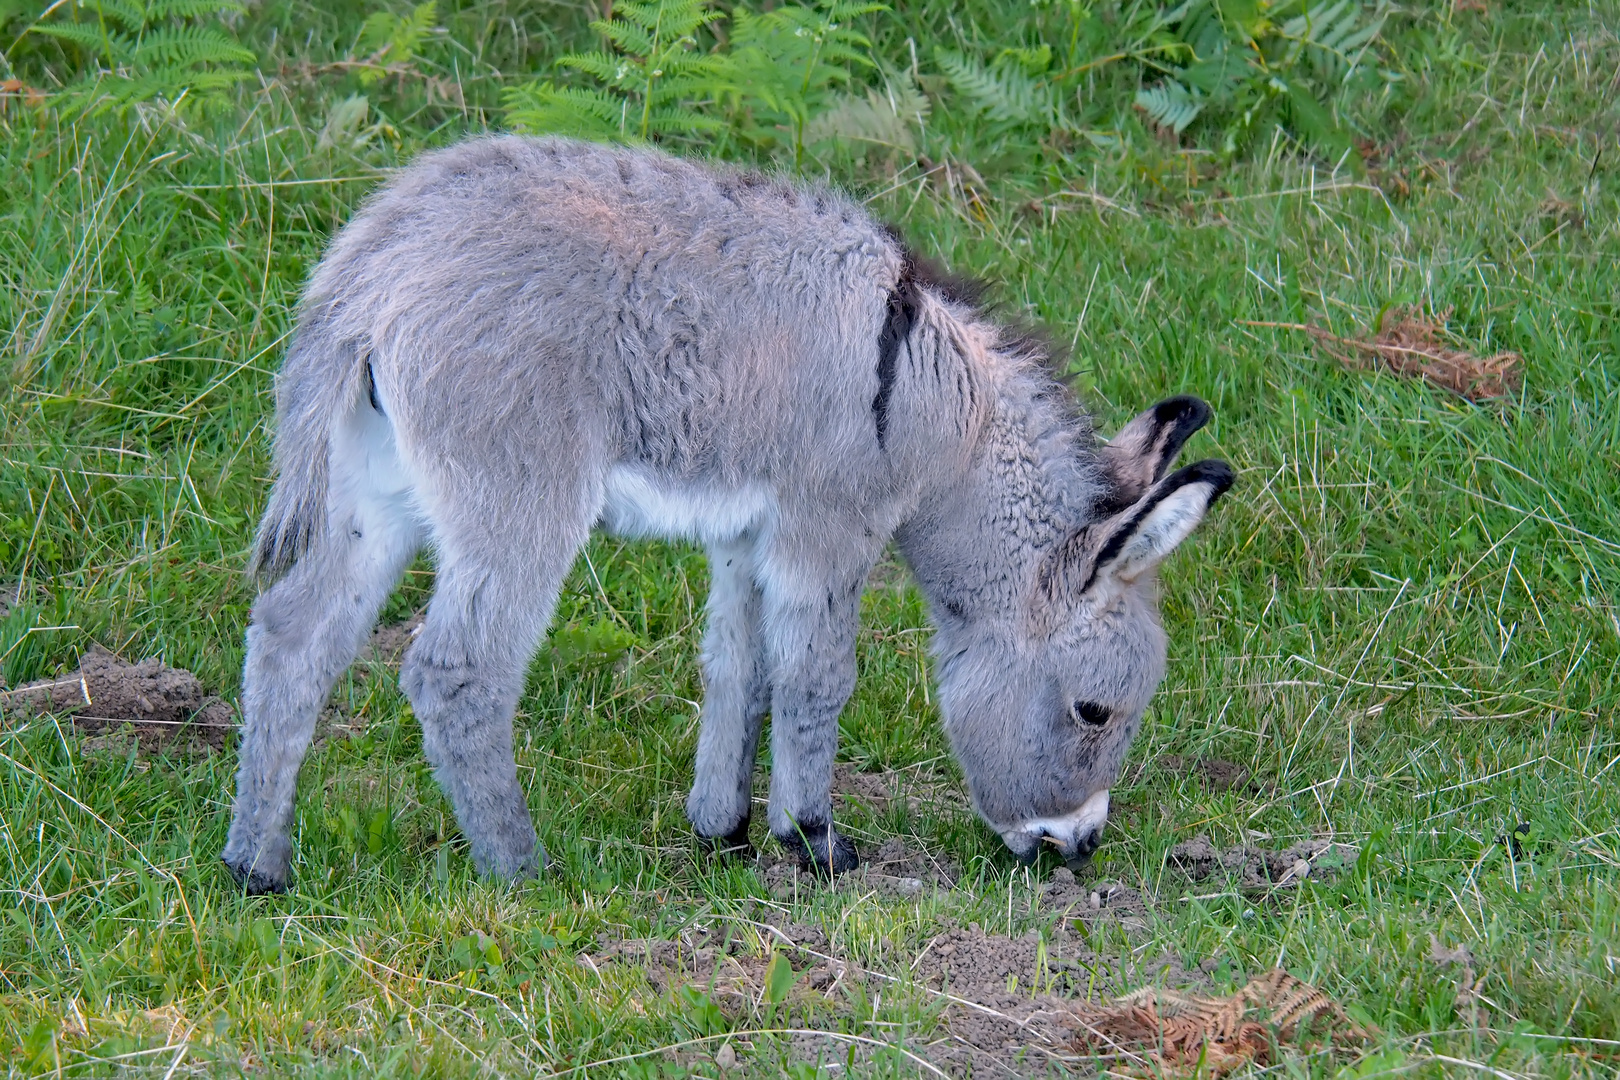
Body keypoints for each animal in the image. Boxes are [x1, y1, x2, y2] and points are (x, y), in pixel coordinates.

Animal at [221, 137, 1231, 893]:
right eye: (1095, 712)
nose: (1078, 848)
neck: (931, 400)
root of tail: (377, 267)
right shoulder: (827, 529)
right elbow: (818, 677)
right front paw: (817, 840)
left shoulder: (748, 537)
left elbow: (740, 670)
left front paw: (726, 829)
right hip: (519, 505)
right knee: (459, 673)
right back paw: (523, 870)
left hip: (373, 489)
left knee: (293, 633)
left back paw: (256, 866)